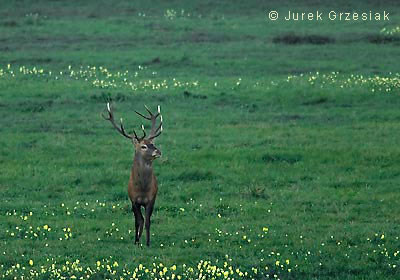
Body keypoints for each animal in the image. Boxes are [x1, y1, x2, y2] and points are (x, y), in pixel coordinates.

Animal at [102, 102, 163, 245]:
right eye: (143, 146)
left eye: (153, 143)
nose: (158, 151)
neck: (142, 189)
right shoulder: (133, 200)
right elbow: (138, 221)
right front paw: (136, 241)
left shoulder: (151, 199)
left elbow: (147, 221)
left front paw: (147, 243)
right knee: (139, 220)